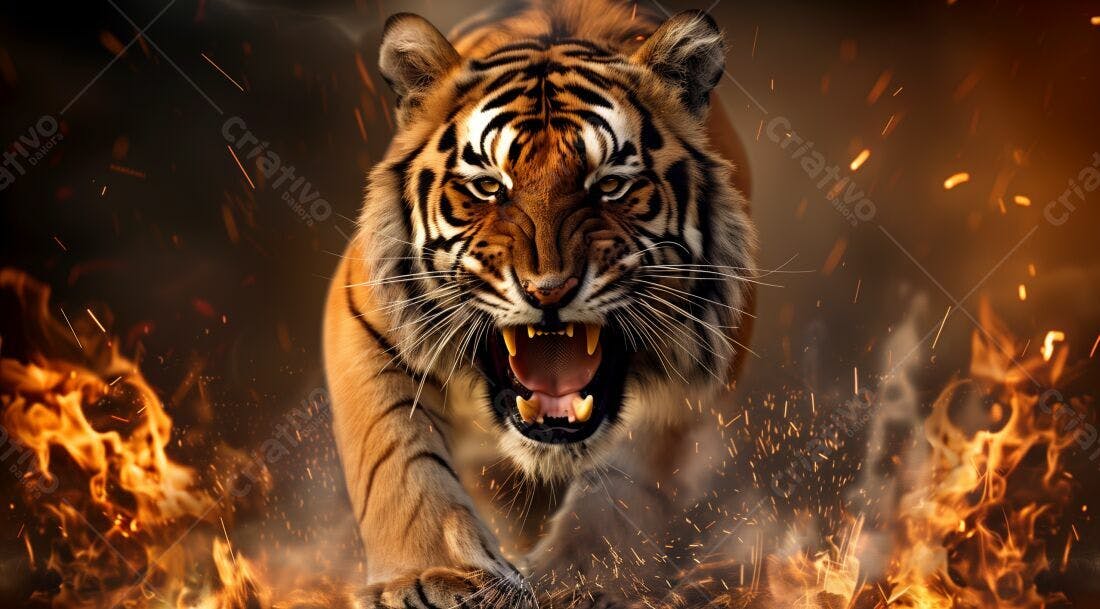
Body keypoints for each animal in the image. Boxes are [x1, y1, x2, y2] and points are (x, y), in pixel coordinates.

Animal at [322, 0, 756, 606]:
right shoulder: (366, 320)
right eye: (488, 187)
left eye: (610, 186)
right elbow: (397, 457)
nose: (549, 289)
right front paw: (433, 576)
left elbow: (625, 487)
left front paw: (583, 583)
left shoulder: (694, 374)